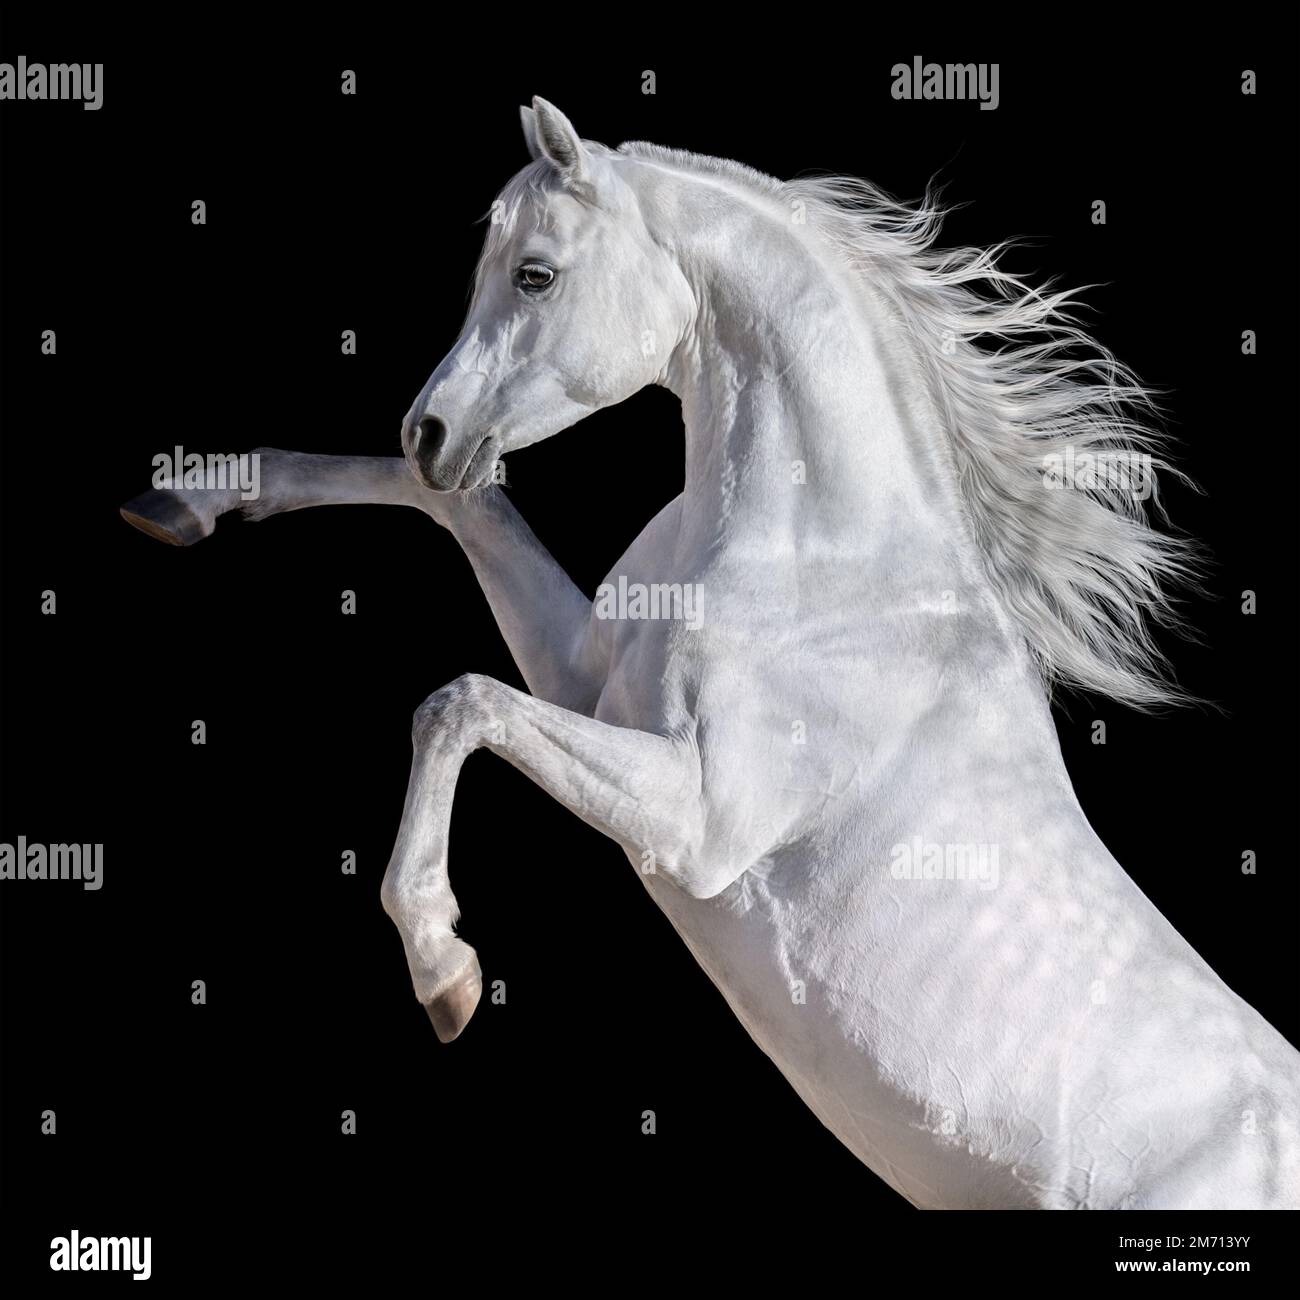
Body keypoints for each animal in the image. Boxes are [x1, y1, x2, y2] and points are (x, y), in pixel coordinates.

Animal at [120, 97, 1300, 1210]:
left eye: (535, 274)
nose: (431, 431)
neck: (821, 566)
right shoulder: (586, 676)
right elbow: (459, 519)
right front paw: (191, 498)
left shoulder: (697, 824)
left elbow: (460, 703)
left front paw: (443, 968)